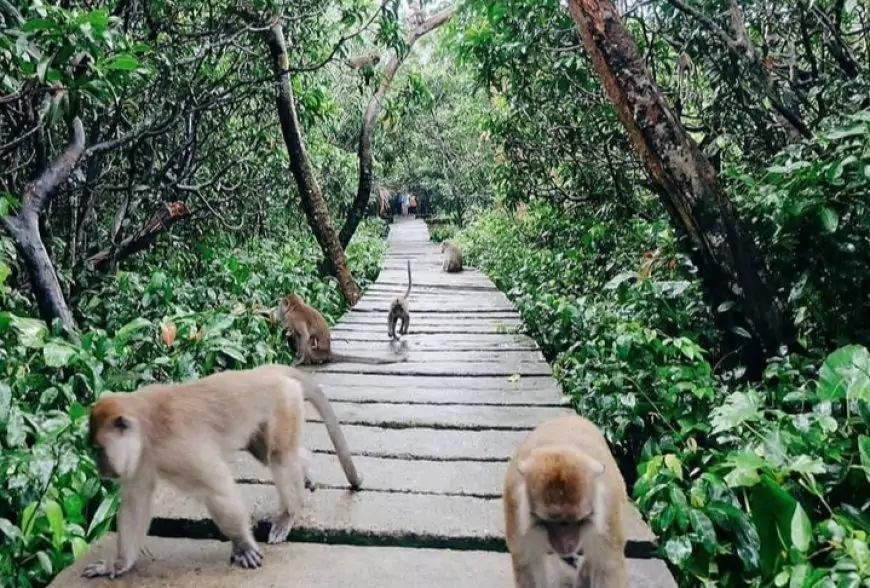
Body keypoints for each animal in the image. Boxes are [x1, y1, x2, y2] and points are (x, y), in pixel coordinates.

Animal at [83, 362, 362, 580]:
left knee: (279, 457)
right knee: (268, 453)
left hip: (284, 403)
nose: (100, 468)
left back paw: (289, 514)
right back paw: (305, 470)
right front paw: (118, 565)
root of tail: (266, 371)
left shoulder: (180, 450)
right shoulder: (140, 460)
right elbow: (136, 503)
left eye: (98, 449)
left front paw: (242, 545)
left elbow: (218, 489)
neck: (146, 428)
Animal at [282, 292, 412, 362]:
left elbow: (304, 335)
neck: (296, 306)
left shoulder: (292, 318)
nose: (279, 308)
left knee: (304, 338)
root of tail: (328, 352)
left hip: (316, 352)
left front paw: (299, 359)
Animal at [500, 416, 632, 588]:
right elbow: (528, 564)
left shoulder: (609, 508)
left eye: (575, 521)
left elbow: (607, 566)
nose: (565, 543)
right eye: (552, 521)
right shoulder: (515, 506)